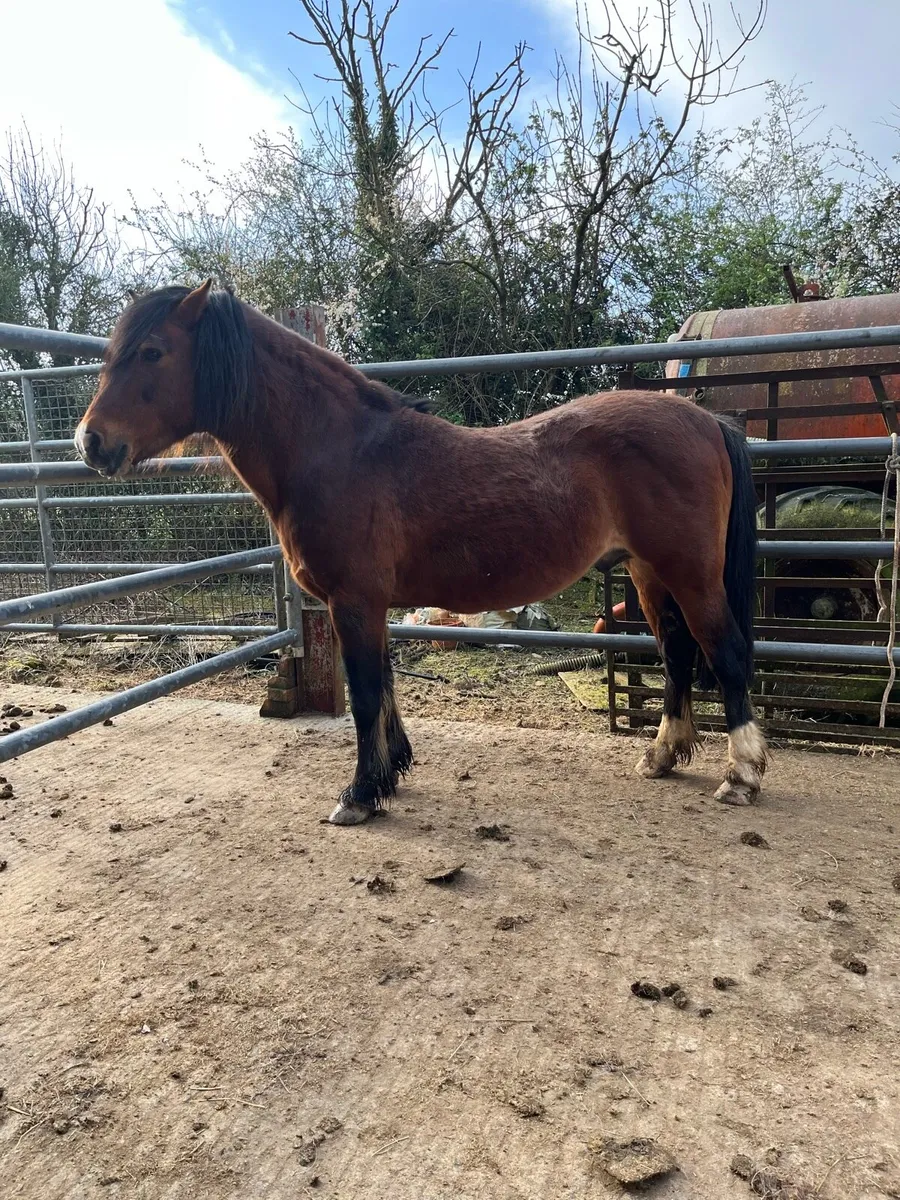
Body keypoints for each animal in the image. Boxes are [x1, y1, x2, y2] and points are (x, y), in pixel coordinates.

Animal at [75, 281, 768, 825]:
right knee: (677, 655)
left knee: (727, 653)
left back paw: (742, 776)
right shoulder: (371, 605)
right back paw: (662, 756)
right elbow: (382, 686)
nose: (91, 442)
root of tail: (708, 423)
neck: (341, 451)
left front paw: (358, 795)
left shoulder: (353, 601)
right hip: (649, 574)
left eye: (153, 352)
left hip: (690, 574)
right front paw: (390, 774)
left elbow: (363, 695)